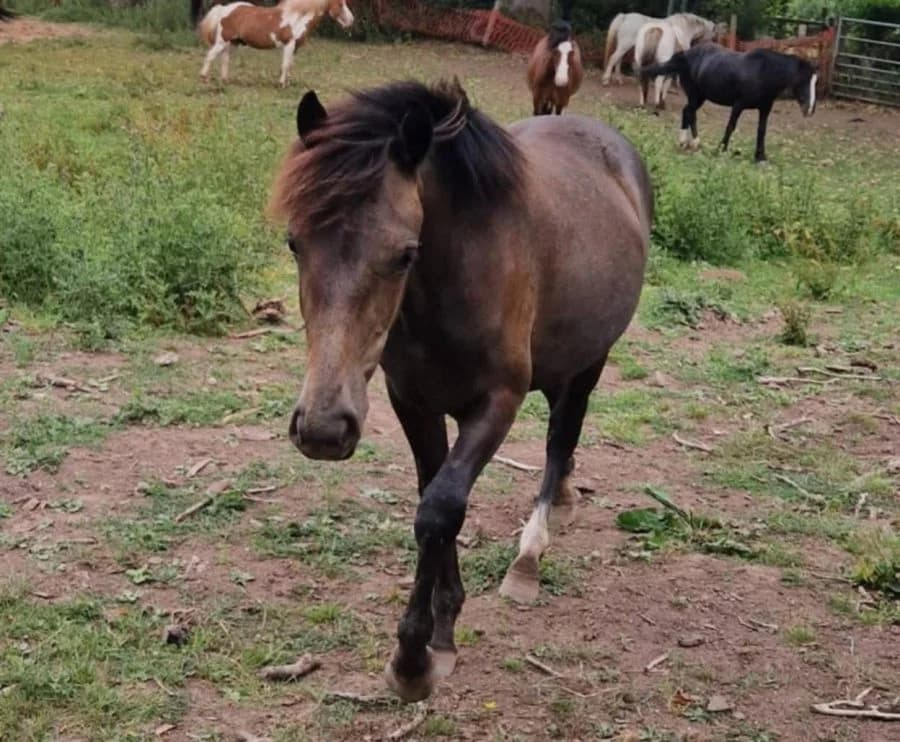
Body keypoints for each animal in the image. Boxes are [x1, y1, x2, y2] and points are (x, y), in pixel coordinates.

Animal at [198, 0, 353, 87]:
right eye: (340, 4)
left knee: (225, 60)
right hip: (222, 41)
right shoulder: (289, 45)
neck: (298, 17)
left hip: (232, 43)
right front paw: (281, 84)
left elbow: (290, 65)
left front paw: (287, 83)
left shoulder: (294, 48)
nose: (351, 20)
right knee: (210, 56)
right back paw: (204, 78)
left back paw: (225, 81)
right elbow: (285, 65)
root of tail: (224, 8)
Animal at [270, 79, 652, 701]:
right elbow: (433, 495)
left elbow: (440, 509)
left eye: (405, 253)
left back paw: (530, 556)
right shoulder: (412, 402)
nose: (324, 429)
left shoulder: (497, 402)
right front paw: (443, 630)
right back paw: (565, 499)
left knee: (559, 439)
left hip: (591, 358)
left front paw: (413, 659)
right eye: (294, 243)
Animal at [641, 44, 818, 162]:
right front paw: (721, 149)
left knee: (688, 112)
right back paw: (689, 142)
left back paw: (689, 142)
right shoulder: (738, 105)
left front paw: (760, 157)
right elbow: (731, 126)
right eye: (803, 80)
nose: (810, 109)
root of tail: (685, 55)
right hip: (695, 95)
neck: (762, 72)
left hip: (700, 97)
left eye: (816, 81)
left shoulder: (765, 108)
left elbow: (762, 131)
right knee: (689, 112)